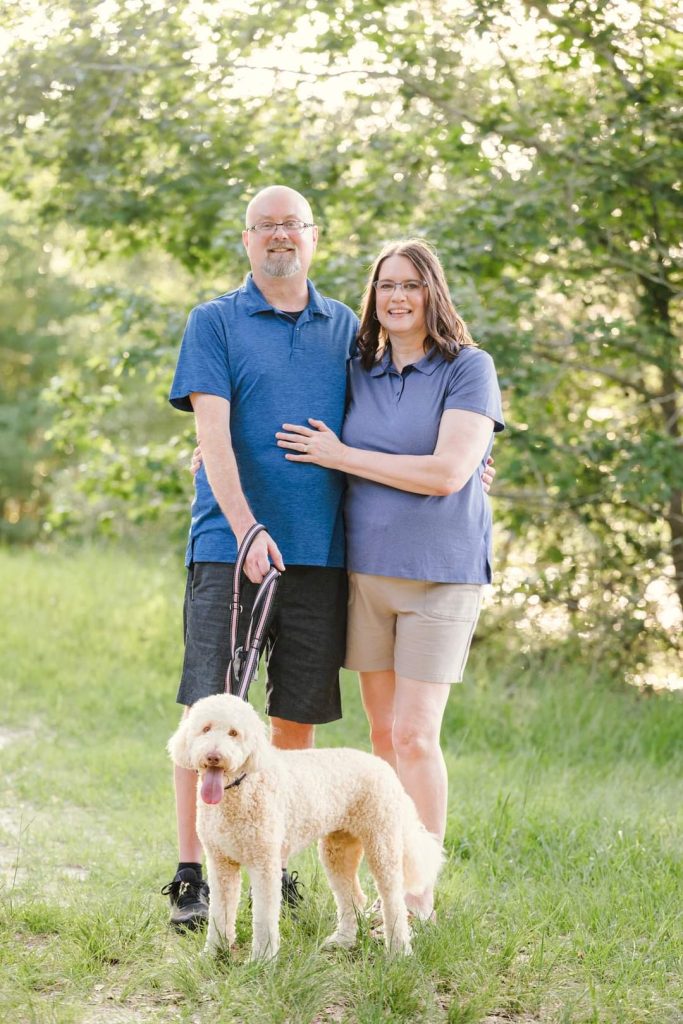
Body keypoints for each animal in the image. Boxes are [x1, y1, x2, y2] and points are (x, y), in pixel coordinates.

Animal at [166, 692, 444, 962]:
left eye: (234, 733)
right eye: (205, 729)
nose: (214, 756)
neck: (240, 789)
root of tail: (386, 769)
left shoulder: (264, 864)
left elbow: (264, 917)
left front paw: (261, 960)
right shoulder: (221, 864)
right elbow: (219, 914)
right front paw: (213, 953)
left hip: (382, 845)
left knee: (393, 901)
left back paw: (399, 951)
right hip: (338, 849)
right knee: (353, 897)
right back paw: (342, 941)